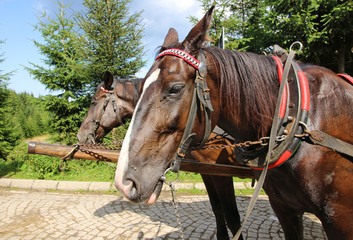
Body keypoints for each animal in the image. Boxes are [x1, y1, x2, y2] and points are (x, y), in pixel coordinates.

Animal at [78, 72, 252, 239]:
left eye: (94, 102)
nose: (80, 136)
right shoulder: (208, 173)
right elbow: (217, 208)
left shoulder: (222, 175)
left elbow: (233, 218)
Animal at [114, 6, 352, 240]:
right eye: (141, 88)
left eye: (175, 88)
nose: (124, 183)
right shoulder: (282, 207)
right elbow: (219, 210)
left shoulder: (339, 218)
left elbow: (231, 215)